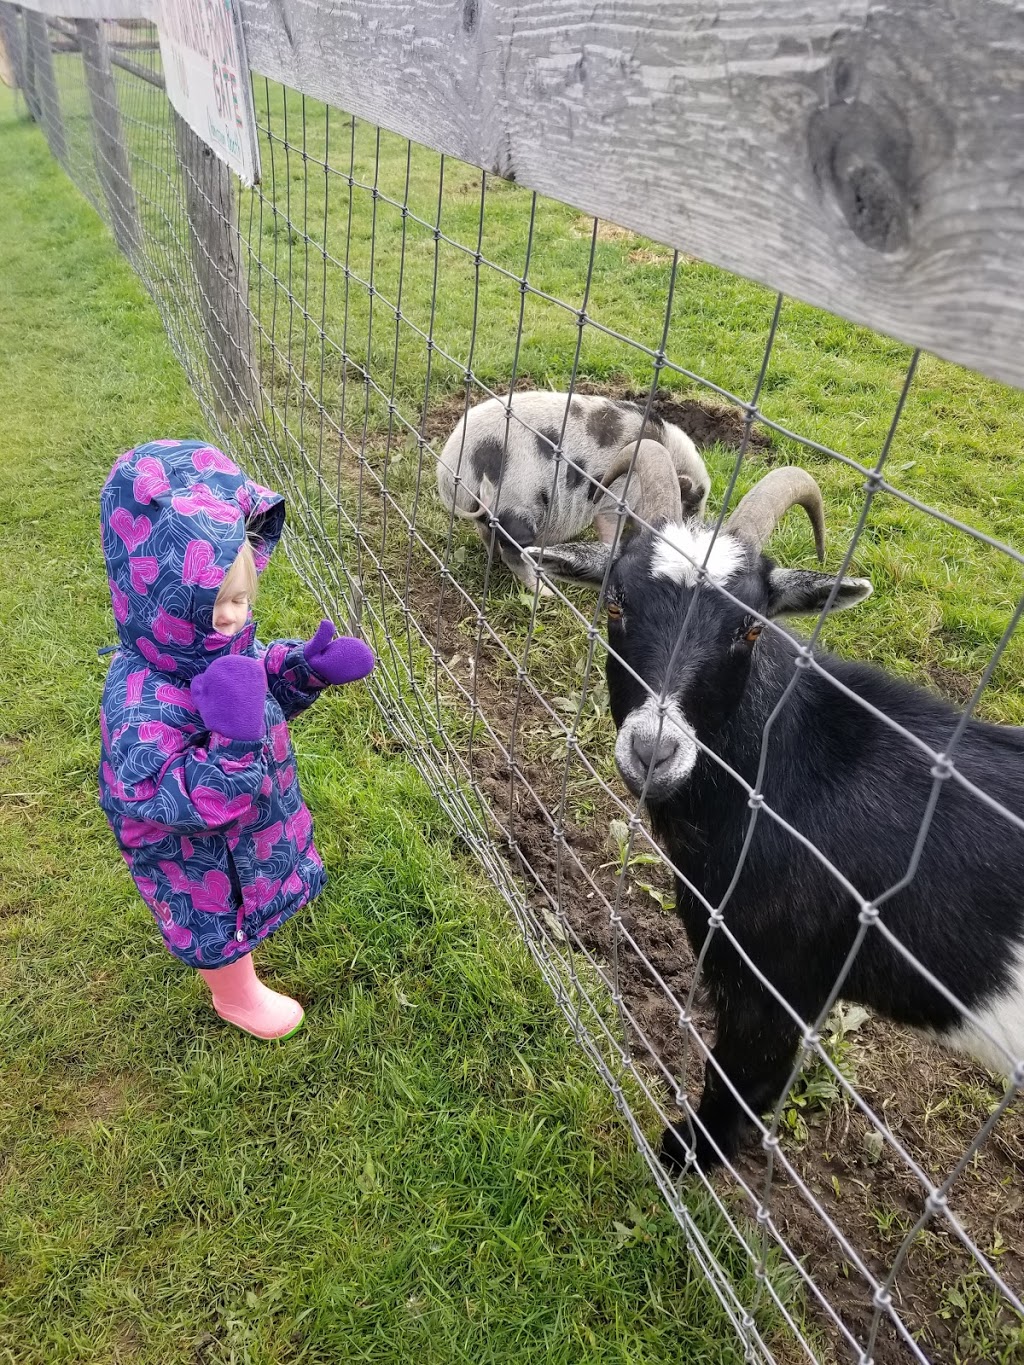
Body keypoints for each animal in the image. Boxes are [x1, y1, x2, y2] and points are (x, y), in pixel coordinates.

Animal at [436, 390, 709, 592]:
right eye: (690, 505)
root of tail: (449, 471)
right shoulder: (615, 498)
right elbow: (609, 527)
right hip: (516, 506)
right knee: (514, 552)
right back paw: (544, 593)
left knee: (487, 536)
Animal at [532, 455, 1024, 1173]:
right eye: (615, 601)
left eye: (752, 626)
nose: (653, 750)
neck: (787, 769)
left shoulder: (774, 981)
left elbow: (745, 1084)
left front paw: (681, 1155)